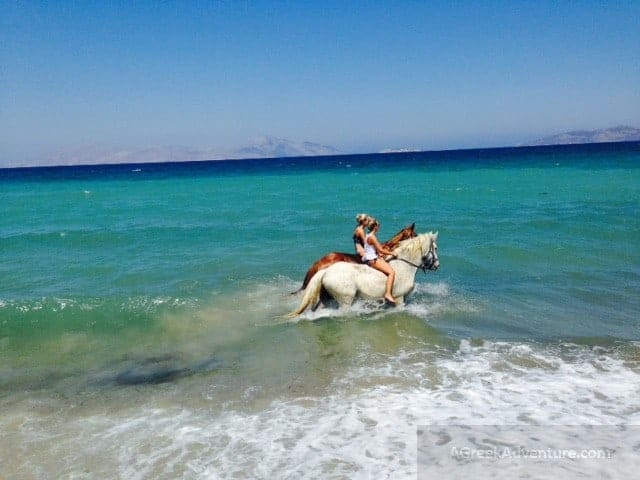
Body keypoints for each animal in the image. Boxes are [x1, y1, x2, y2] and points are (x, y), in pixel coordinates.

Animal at [288, 233, 438, 318]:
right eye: (435, 248)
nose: (437, 265)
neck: (405, 266)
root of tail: (325, 270)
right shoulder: (399, 298)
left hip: (326, 299)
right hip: (345, 300)